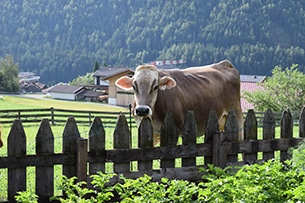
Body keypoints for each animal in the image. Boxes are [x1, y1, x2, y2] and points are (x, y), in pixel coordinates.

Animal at [115, 59, 243, 145]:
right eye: (134, 86)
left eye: (155, 87)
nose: (142, 110)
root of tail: (224, 64)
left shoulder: (174, 129)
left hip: (237, 116)